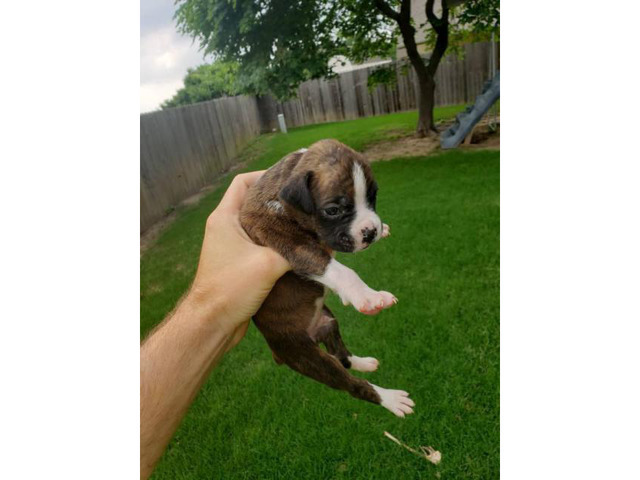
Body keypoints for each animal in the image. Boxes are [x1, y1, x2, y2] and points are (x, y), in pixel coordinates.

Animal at [240, 139, 416, 416]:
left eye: (373, 196)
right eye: (333, 210)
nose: (371, 231)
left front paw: (383, 227)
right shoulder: (285, 239)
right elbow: (339, 269)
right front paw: (368, 297)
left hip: (329, 321)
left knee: (343, 357)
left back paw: (364, 363)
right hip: (310, 359)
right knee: (352, 385)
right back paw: (390, 399)